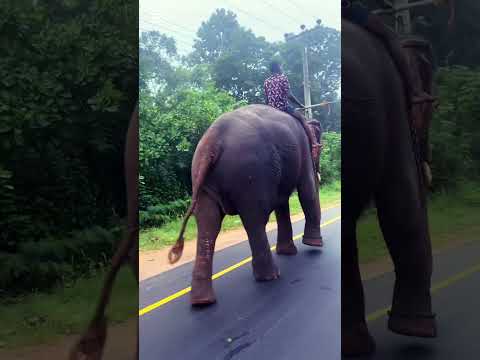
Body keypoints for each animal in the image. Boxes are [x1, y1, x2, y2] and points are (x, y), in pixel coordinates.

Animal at [168, 105, 322, 306]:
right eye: (319, 147)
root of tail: (213, 140)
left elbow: (282, 202)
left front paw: (288, 252)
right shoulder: (303, 150)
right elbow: (307, 190)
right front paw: (314, 245)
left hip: (201, 179)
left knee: (208, 225)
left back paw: (202, 301)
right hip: (251, 176)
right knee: (254, 220)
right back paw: (270, 277)